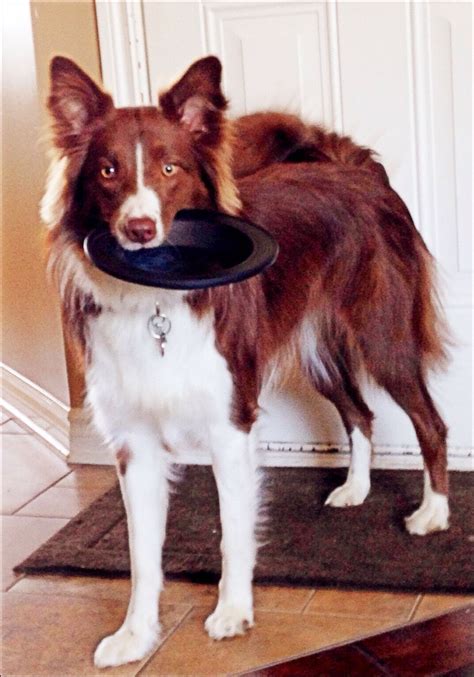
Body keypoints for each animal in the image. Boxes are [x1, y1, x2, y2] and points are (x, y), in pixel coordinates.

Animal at [40, 56, 448, 664]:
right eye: (108, 171)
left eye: (169, 168)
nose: (140, 230)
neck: (154, 304)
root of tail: (357, 169)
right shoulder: (133, 440)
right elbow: (141, 553)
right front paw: (136, 635)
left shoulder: (230, 421)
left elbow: (234, 529)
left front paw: (232, 611)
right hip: (318, 352)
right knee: (360, 413)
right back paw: (355, 490)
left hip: (383, 338)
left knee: (430, 422)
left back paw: (434, 514)